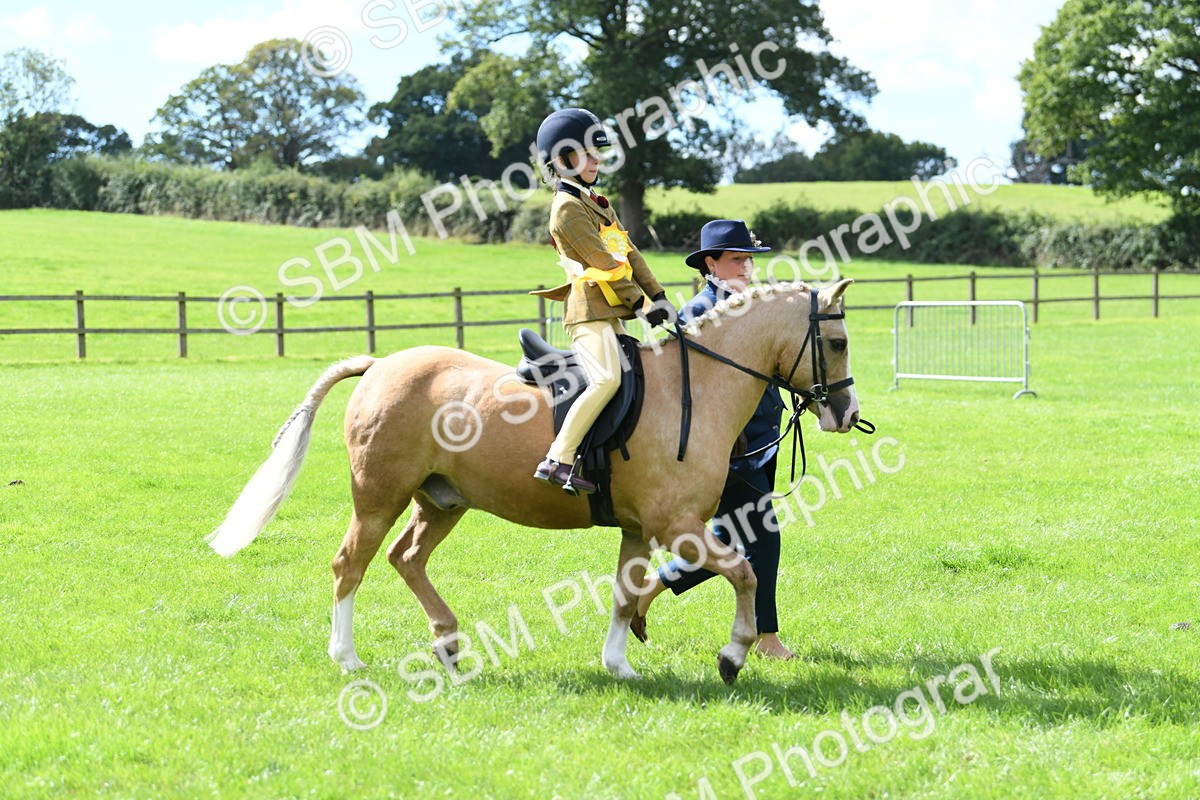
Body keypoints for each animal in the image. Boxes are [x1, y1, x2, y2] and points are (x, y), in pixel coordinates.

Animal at [208, 279, 861, 684]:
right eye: (837, 341)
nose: (846, 413)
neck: (695, 387)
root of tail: (379, 365)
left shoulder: (637, 529)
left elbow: (625, 593)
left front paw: (620, 665)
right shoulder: (676, 525)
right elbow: (744, 573)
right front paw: (732, 656)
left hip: (442, 502)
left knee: (406, 558)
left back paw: (449, 645)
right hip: (379, 498)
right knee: (351, 564)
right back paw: (346, 658)